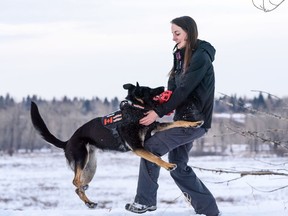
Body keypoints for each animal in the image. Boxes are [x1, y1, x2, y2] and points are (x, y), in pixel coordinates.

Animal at [29, 82, 202, 208]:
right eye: (149, 89)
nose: (163, 87)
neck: (136, 110)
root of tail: (67, 142)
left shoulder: (154, 127)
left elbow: (177, 122)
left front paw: (194, 123)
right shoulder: (138, 148)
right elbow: (154, 157)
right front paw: (168, 165)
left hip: (90, 167)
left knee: (77, 186)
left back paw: (89, 202)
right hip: (82, 158)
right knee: (75, 182)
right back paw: (86, 196)